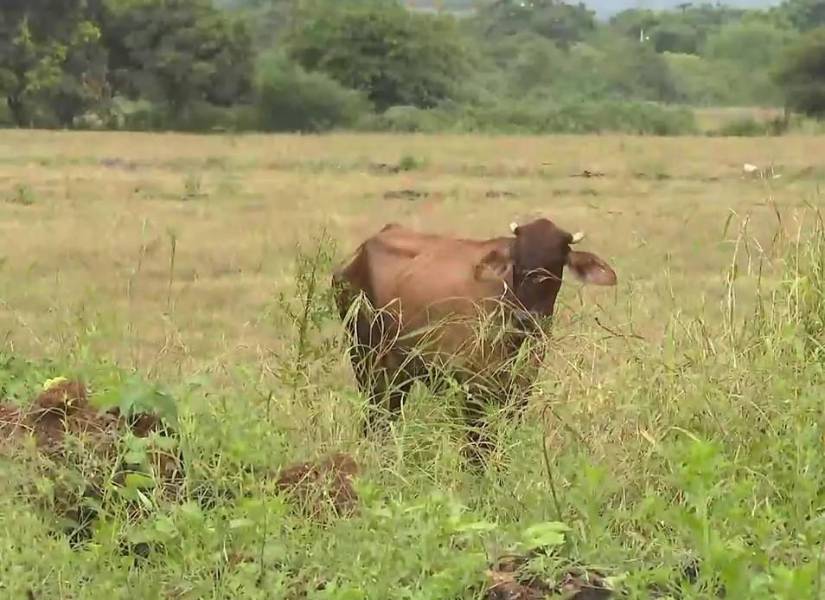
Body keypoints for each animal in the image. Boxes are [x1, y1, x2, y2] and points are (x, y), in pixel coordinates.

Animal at [332, 217, 617, 463]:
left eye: (555, 264)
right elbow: (477, 447)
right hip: (368, 364)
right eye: (517, 262)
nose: (525, 317)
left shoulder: (519, 391)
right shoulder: (472, 389)